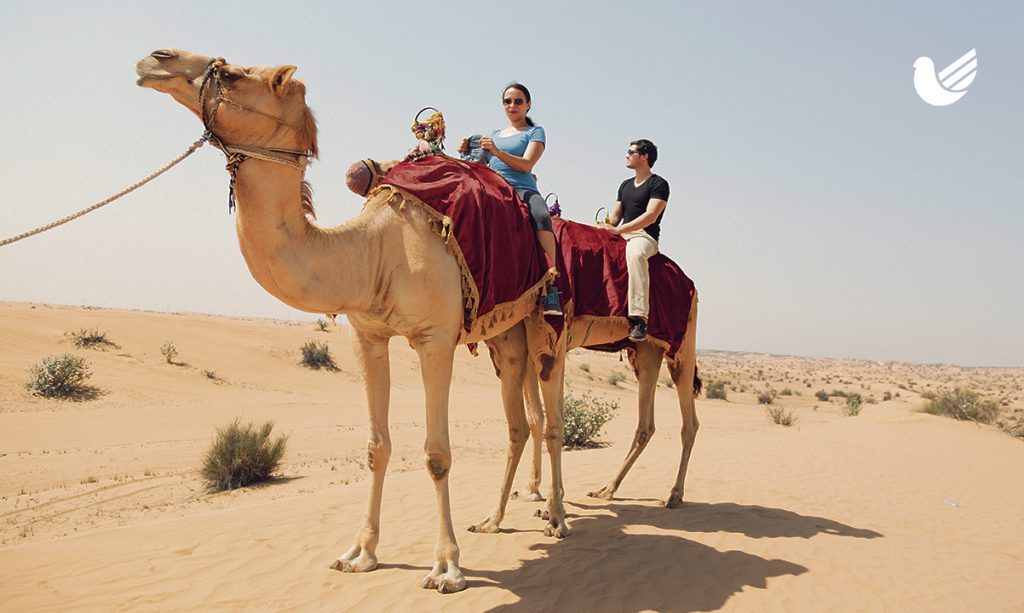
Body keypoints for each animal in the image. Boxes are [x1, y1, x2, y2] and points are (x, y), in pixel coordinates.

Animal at [132, 49, 573, 593]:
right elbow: (376, 447)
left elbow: (436, 454)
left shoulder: (434, 338)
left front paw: (447, 567)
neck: (374, 252)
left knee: (552, 419)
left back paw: (557, 519)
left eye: (231, 74)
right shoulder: (369, 336)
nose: (155, 59)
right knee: (520, 423)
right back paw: (493, 520)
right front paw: (361, 553)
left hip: (548, 329)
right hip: (505, 334)